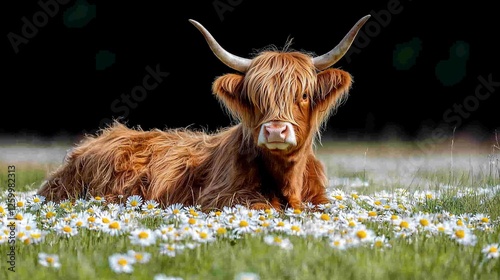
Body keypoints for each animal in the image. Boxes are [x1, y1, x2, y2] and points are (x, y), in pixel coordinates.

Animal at [37, 15, 370, 211]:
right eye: (254, 98)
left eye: (303, 95)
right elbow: (264, 206)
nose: (276, 130)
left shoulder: (320, 200)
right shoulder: (219, 197)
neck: (289, 184)